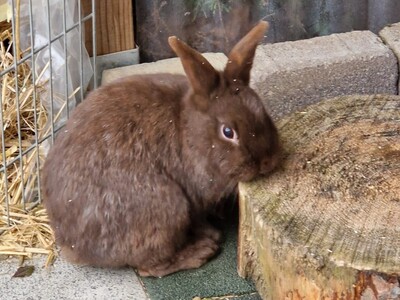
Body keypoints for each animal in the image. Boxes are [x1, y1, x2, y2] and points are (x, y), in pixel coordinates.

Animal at [40, 21, 278, 278]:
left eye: (262, 111)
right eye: (227, 132)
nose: (267, 161)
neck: (187, 128)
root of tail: (71, 244)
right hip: (168, 207)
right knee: (149, 267)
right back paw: (200, 252)